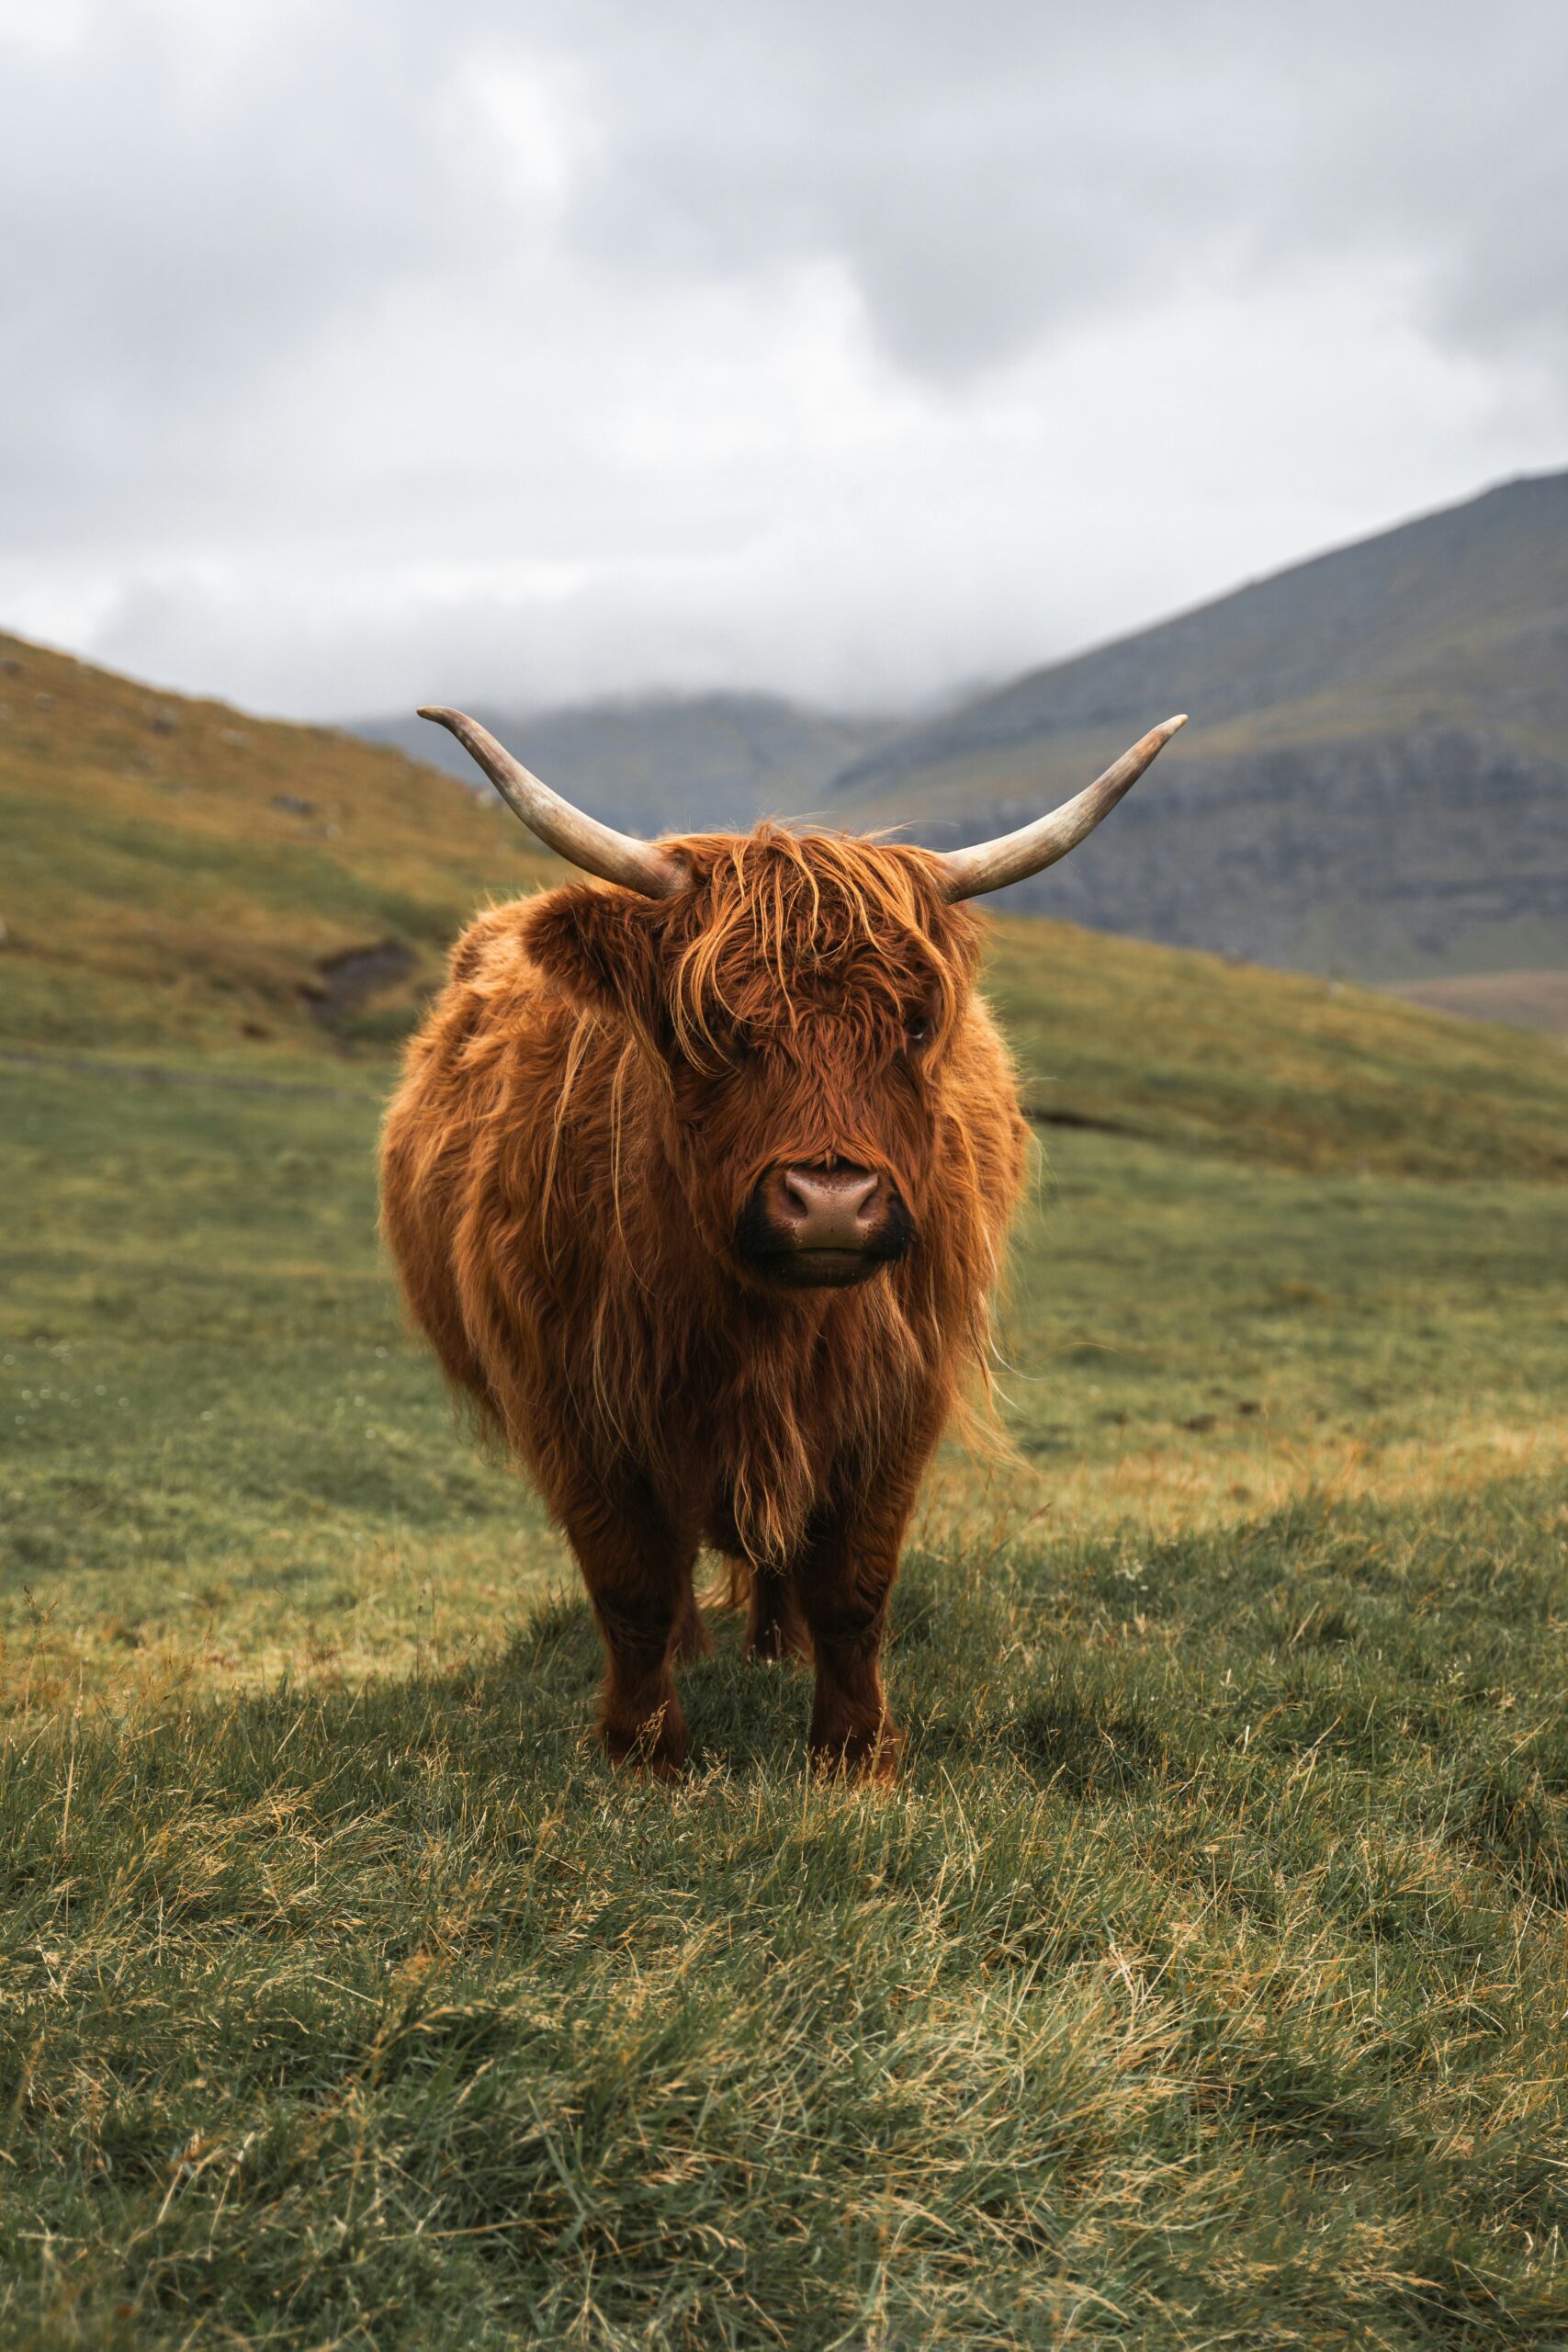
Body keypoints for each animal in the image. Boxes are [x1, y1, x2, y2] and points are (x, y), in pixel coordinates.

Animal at [380, 706, 1185, 1778]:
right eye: (714, 1025)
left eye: (915, 1023)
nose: (833, 1201)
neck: (758, 1322)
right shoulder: (571, 1403)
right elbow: (630, 1584)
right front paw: (646, 1753)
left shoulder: (896, 1398)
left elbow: (854, 1584)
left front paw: (854, 1754)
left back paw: (774, 1644)